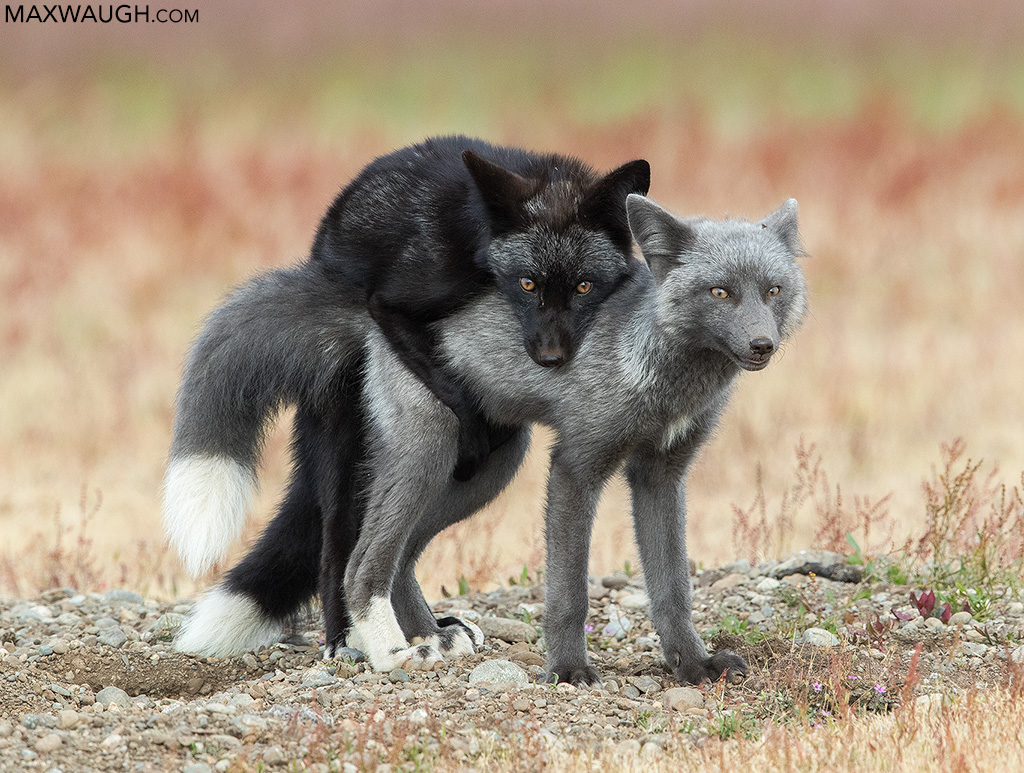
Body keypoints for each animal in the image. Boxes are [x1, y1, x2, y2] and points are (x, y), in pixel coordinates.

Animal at [163, 135, 650, 582]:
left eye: (584, 286)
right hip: (345, 447)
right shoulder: (401, 298)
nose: (550, 358)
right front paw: (472, 436)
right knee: (336, 551)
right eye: (527, 284)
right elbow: (450, 385)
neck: (477, 234)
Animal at [171, 195, 808, 686]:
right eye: (721, 293)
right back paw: (390, 652)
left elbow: (672, 588)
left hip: (492, 465)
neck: (656, 364)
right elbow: (568, 591)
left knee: (403, 558)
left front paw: (693, 667)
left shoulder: (660, 475)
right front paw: (568, 671)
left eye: (773, 291)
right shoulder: (576, 465)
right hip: (429, 454)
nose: (762, 346)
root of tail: (370, 302)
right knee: (363, 563)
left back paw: (431, 637)